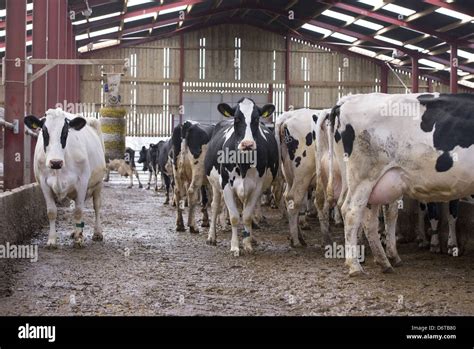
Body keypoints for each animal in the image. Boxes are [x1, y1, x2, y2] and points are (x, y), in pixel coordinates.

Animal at [24, 109, 106, 247]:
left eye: (65, 132)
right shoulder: (44, 183)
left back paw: (97, 233)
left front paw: (78, 240)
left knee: (97, 206)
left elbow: (78, 211)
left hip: (99, 183)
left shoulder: (82, 182)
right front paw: (52, 240)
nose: (55, 162)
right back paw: (76, 231)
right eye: (44, 132)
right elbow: (51, 212)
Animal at [204, 96, 278, 254]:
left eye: (256, 118)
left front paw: (247, 244)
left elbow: (247, 216)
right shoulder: (226, 185)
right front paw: (234, 247)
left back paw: (251, 238)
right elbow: (234, 217)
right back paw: (211, 237)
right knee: (214, 206)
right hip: (215, 185)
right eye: (237, 118)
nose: (247, 144)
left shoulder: (256, 187)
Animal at [328, 92, 474, 274]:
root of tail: (347, 100)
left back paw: (384, 262)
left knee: (370, 220)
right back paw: (355, 266)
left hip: (375, 185)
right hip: (363, 178)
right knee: (351, 212)